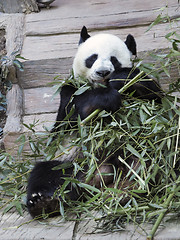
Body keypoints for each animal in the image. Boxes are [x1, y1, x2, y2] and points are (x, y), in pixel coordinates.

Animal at [26, 26, 163, 218]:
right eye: (92, 58)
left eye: (114, 59)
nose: (103, 72)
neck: (101, 86)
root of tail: (95, 177)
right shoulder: (70, 91)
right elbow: (74, 114)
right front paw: (105, 100)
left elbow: (154, 97)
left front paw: (122, 78)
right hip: (69, 161)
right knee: (46, 175)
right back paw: (44, 203)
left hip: (139, 150)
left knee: (152, 158)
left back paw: (136, 182)